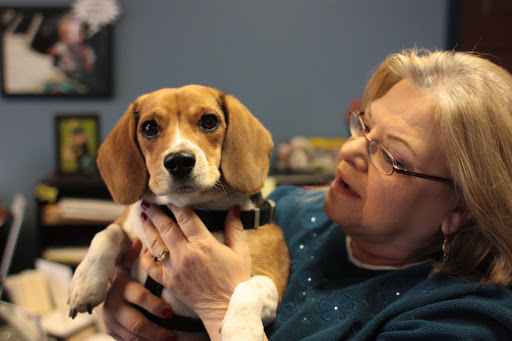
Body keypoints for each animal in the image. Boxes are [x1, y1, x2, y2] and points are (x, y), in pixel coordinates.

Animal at [68, 85, 290, 340]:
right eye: (149, 127)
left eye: (209, 121)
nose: (179, 161)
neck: (193, 210)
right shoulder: (130, 222)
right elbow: (106, 234)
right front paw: (85, 284)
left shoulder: (273, 280)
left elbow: (248, 288)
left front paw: (240, 331)